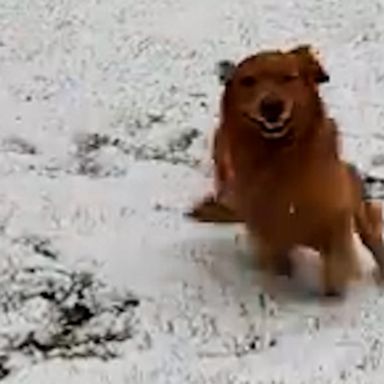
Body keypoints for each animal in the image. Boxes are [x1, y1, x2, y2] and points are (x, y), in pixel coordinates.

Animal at [188, 45, 384, 296]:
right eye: (248, 81)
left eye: (288, 78)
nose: (271, 106)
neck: (279, 159)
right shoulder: (268, 234)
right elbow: (279, 262)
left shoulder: (336, 223)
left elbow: (336, 270)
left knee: (370, 232)